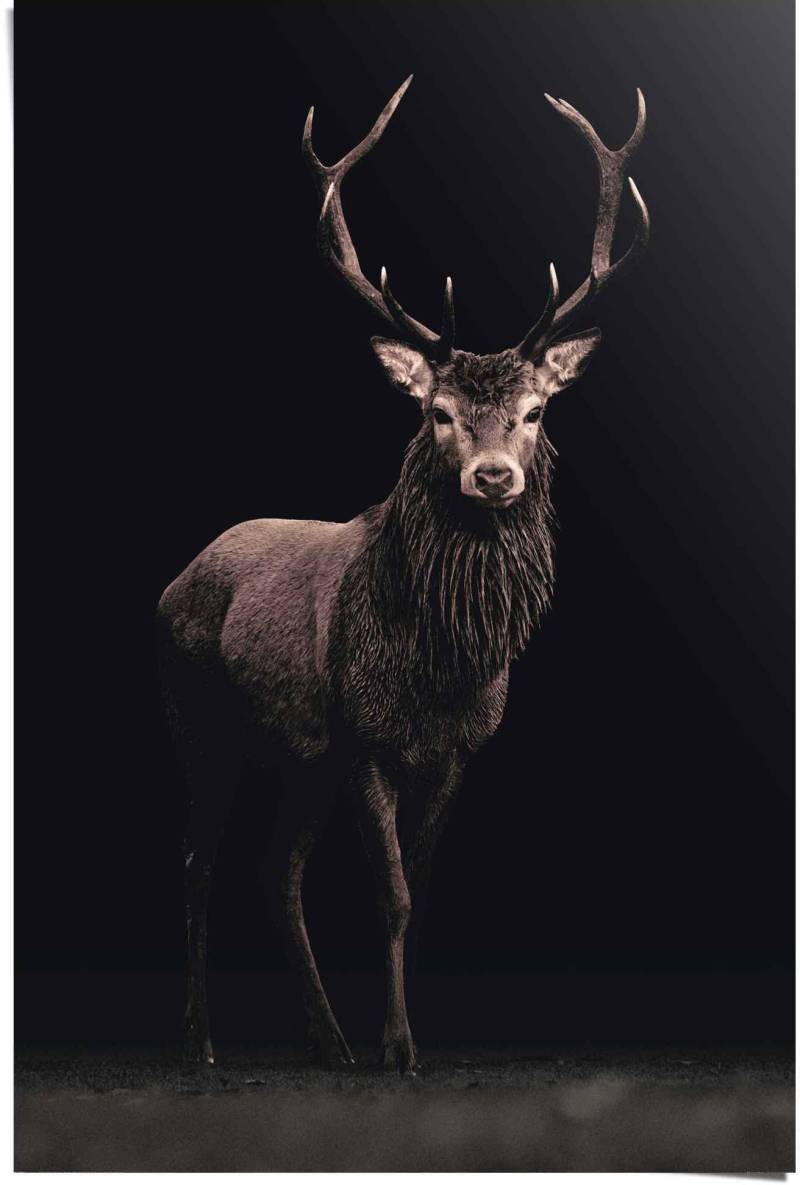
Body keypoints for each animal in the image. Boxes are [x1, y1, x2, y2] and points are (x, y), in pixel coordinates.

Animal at [157, 76, 649, 1074]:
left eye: (534, 410)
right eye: (439, 412)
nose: (493, 477)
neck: (439, 668)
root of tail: (171, 583)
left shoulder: (453, 750)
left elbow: (417, 897)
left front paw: (398, 1033)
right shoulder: (368, 738)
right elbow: (389, 891)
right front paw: (398, 1045)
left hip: (301, 755)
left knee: (277, 868)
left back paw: (327, 1037)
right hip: (201, 718)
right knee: (198, 862)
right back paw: (204, 1040)